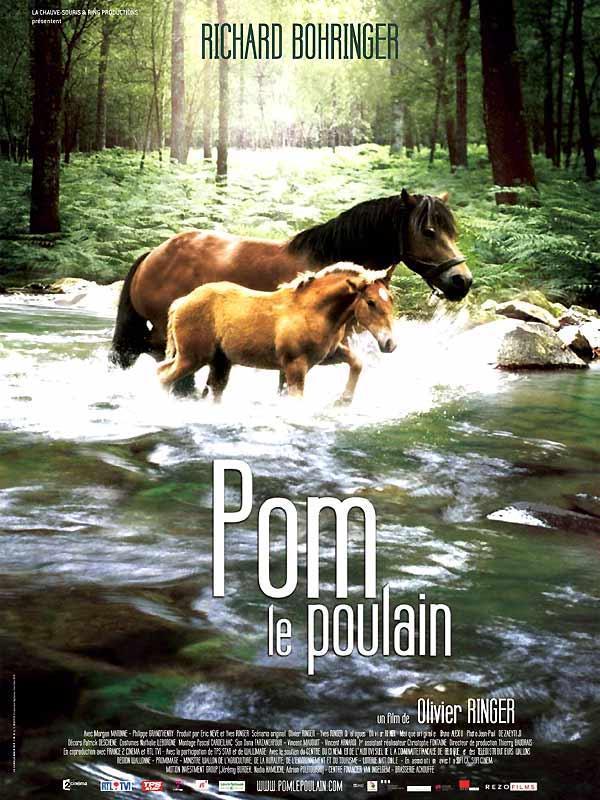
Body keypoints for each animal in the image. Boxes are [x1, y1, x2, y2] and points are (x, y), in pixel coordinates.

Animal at [157, 263, 396, 403]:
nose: (390, 343)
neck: (314, 311)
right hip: (192, 357)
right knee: (163, 376)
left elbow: (357, 362)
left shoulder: (327, 355)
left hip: (220, 361)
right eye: (371, 302)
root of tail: (180, 302)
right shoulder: (295, 366)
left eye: (391, 299)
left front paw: (344, 400)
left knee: (212, 390)